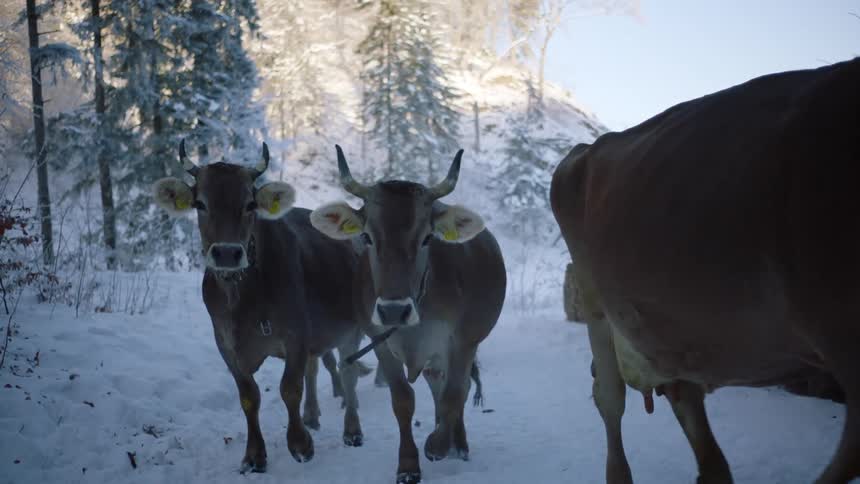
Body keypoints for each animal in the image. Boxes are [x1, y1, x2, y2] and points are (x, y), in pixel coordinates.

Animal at [151, 141, 367, 474]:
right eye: (200, 203)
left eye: (250, 204)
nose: (227, 253)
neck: (241, 297)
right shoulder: (225, 344)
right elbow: (248, 396)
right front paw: (254, 455)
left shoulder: (296, 334)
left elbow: (290, 387)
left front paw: (300, 444)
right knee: (317, 368)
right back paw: (312, 415)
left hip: (351, 330)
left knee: (348, 373)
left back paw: (352, 430)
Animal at [309, 146, 507, 484]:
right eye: (367, 237)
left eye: (427, 238)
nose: (393, 310)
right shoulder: (380, 341)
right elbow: (403, 400)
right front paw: (408, 465)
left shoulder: (463, 341)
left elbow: (456, 394)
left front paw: (438, 444)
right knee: (435, 381)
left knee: (458, 388)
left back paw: (458, 444)